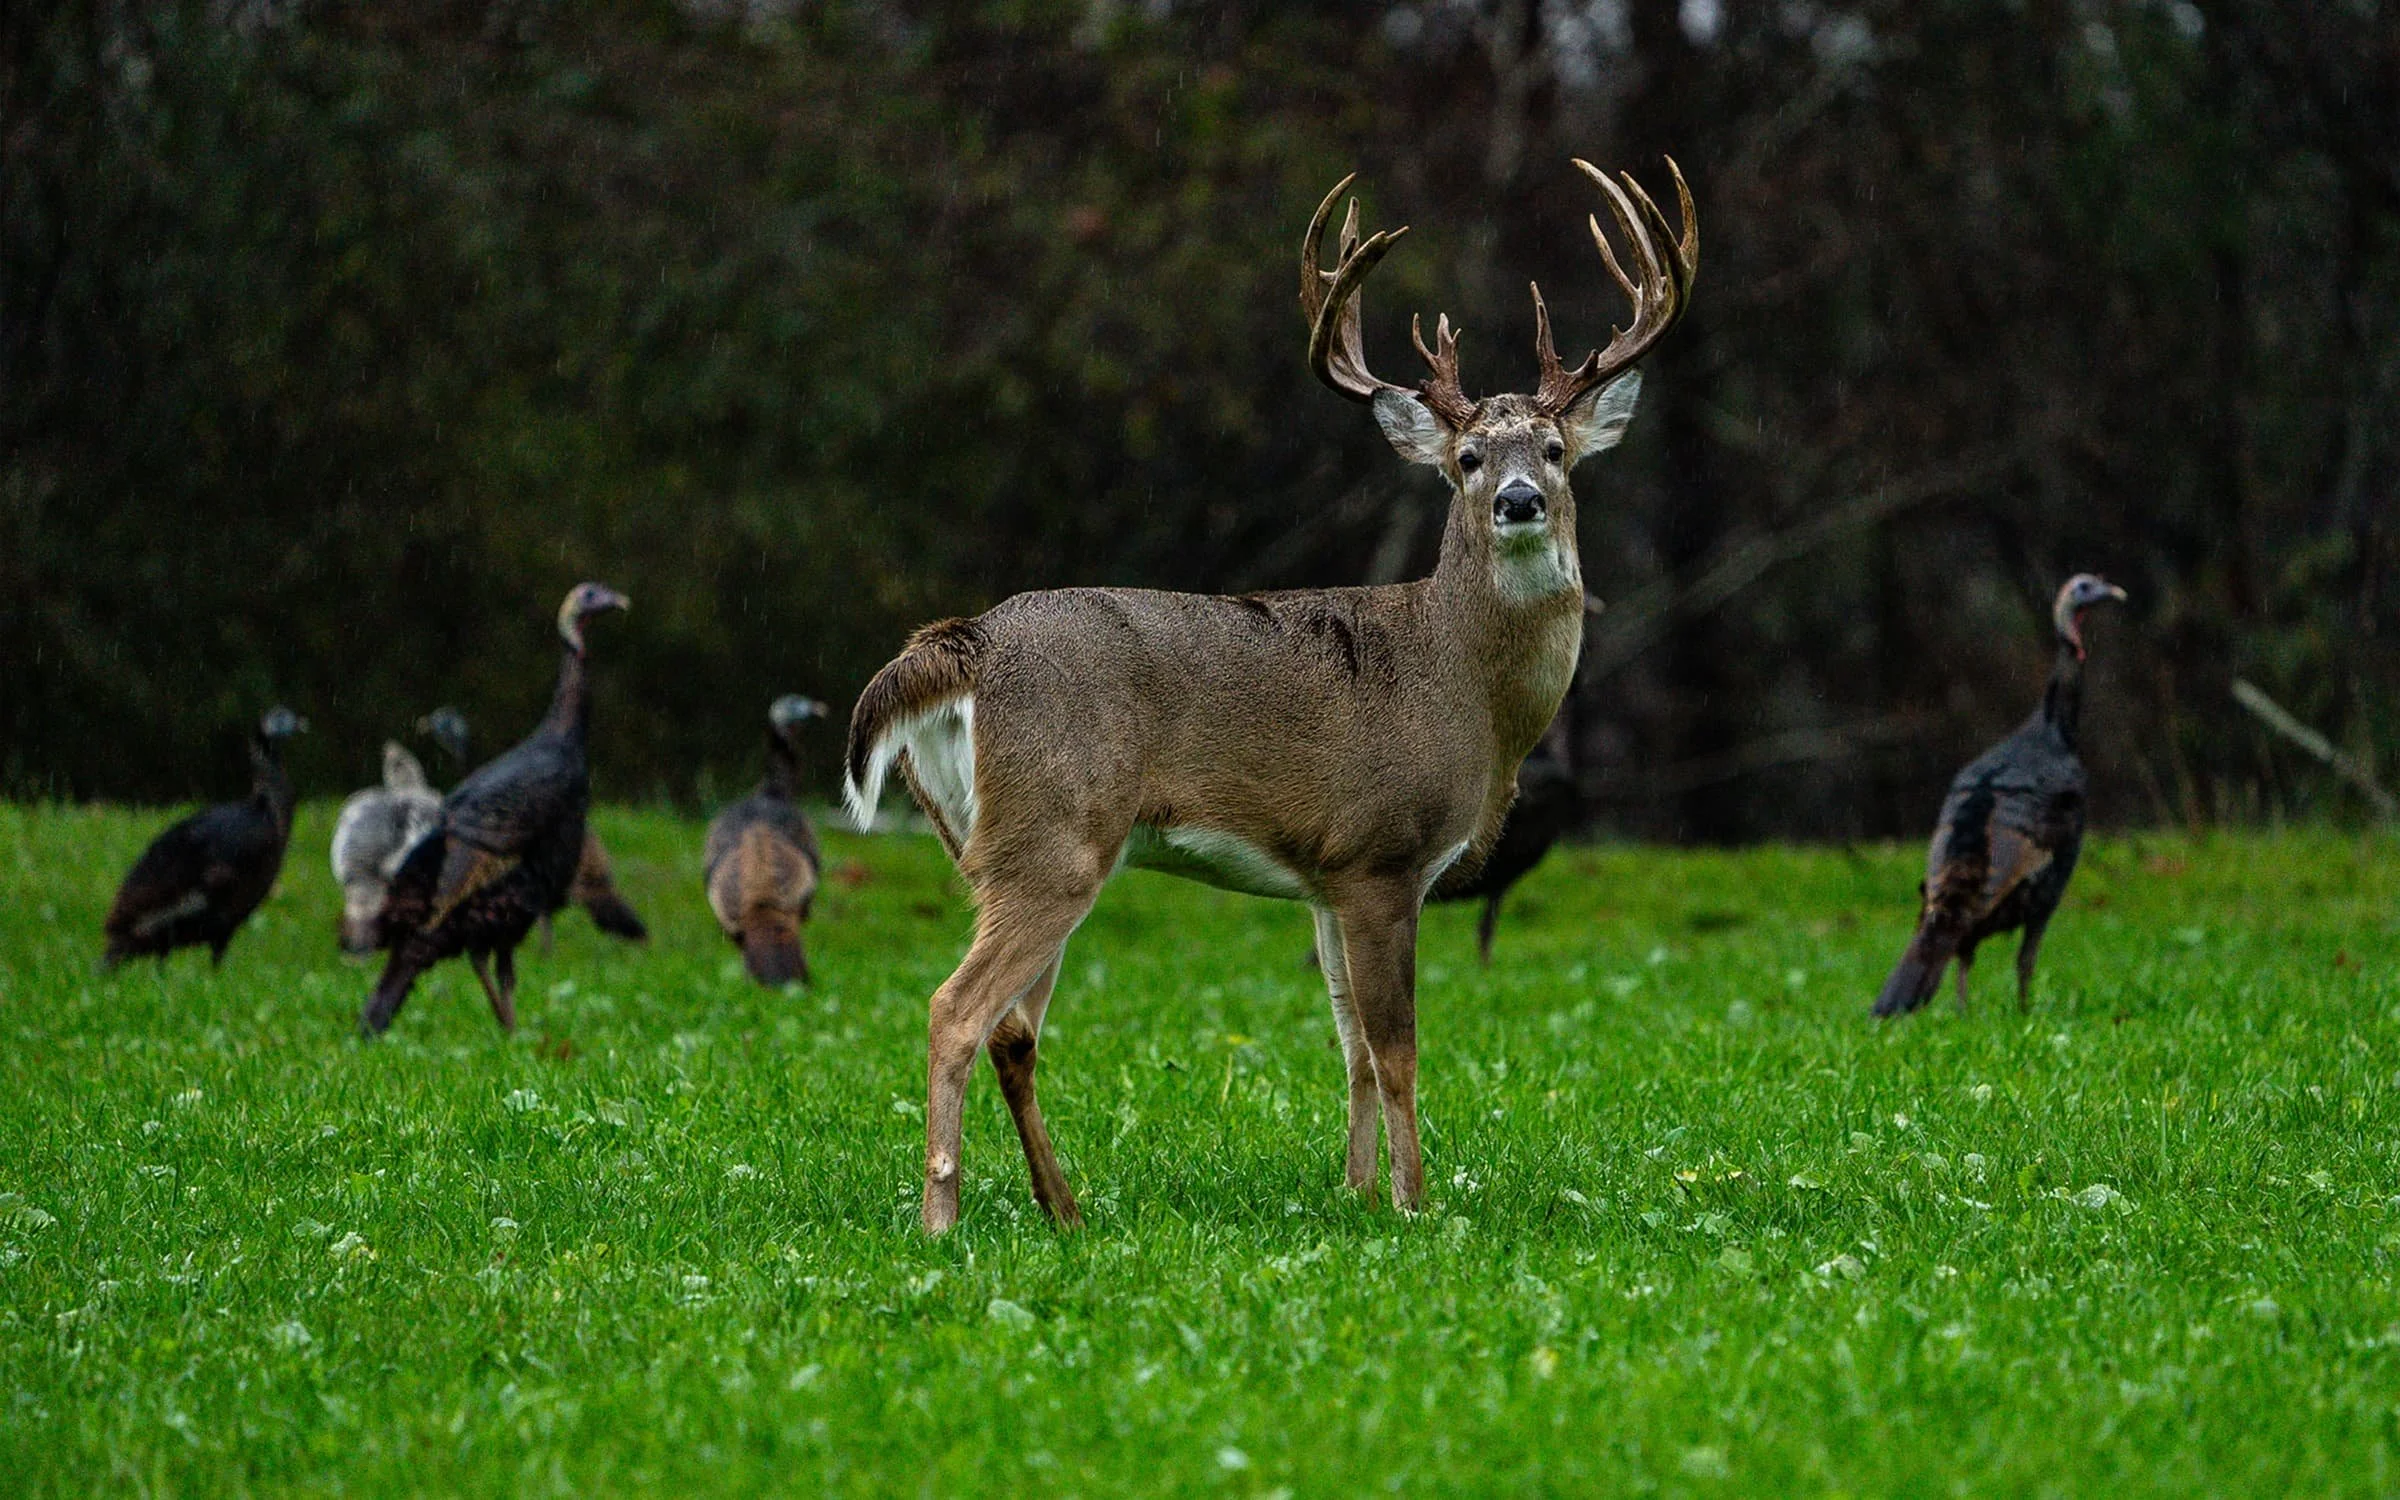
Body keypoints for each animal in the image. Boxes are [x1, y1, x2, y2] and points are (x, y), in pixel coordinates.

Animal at [844, 157, 1697, 1235]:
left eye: (1554, 449)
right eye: (1467, 459)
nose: (1517, 501)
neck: (1465, 685)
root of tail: (966, 646)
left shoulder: (1329, 878)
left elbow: (1352, 1051)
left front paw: (1357, 1192)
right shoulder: (1384, 854)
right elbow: (1397, 1049)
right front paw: (1416, 1205)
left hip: (980, 844)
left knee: (1011, 1029)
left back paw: (1065, 1211)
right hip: (1054, 836)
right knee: (954, 1010)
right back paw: (942, 1218)